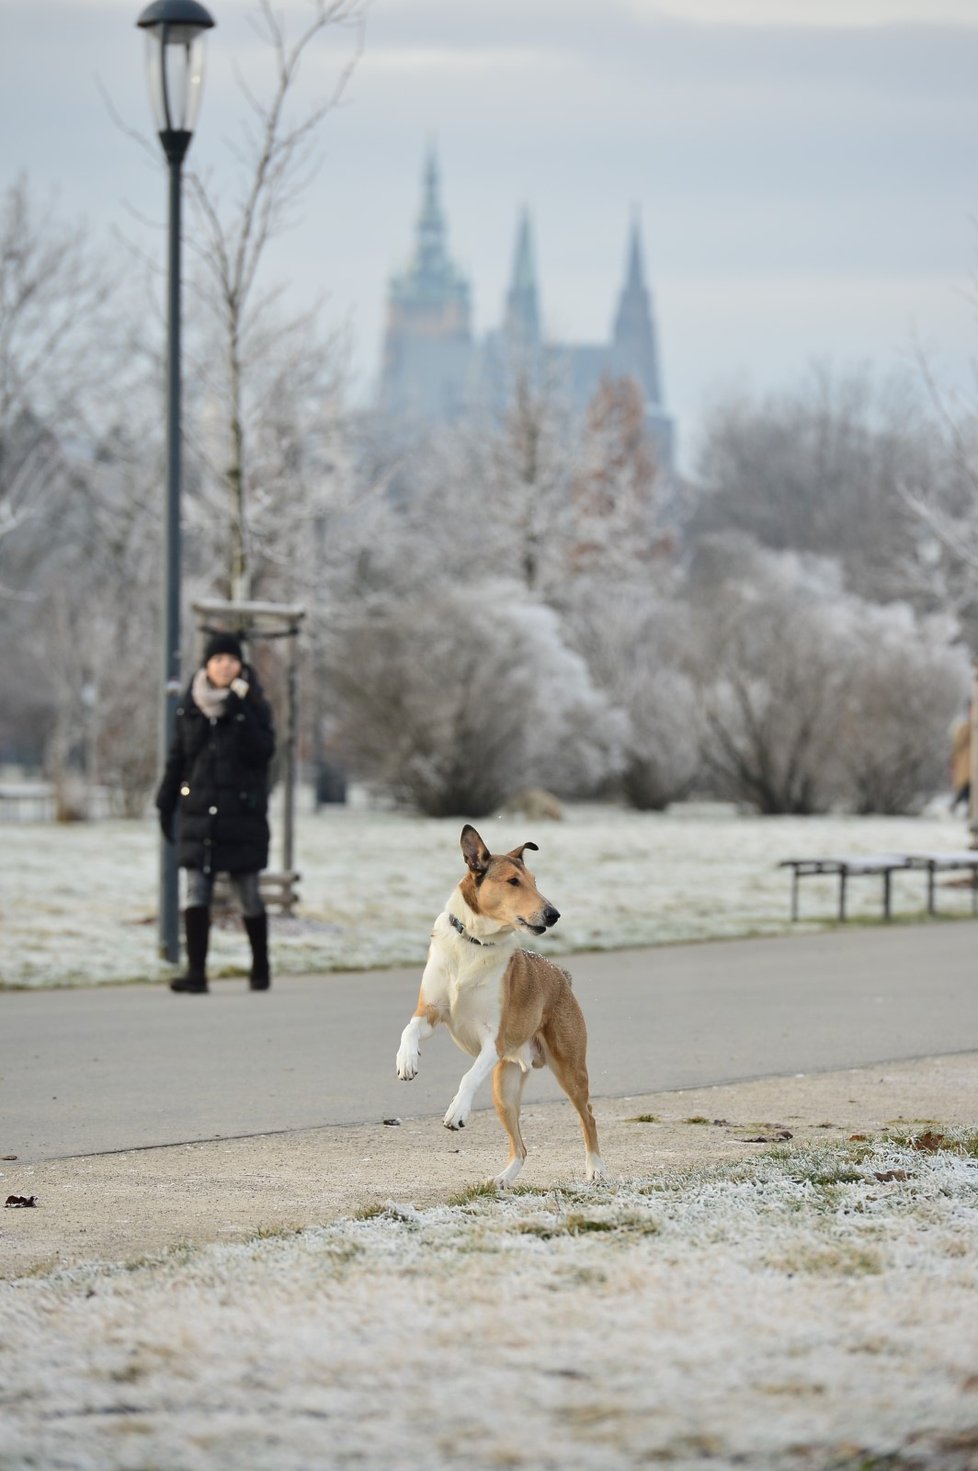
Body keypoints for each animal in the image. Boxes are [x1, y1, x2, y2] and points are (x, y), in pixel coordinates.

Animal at [394, 823, 602, 1188]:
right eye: (513, 881)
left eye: (535, 881)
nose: (554, 914)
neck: (474, 944)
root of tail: (561, 975)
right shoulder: (431, 1011)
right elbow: (410, 1028)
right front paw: (407, 1061)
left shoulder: (493, 1039)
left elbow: (468, 1076)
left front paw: (457, 1112)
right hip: (504, 1090)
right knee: (520, 1146)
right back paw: (503, 1179)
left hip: (569, 1070)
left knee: (588, 1117)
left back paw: (596, 1170)